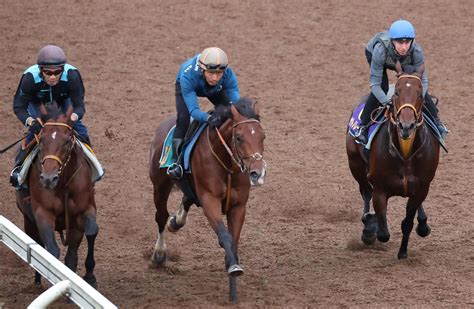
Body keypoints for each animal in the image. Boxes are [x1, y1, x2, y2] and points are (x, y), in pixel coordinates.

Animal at [15, 102, 98, 286]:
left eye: (67, 141)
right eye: (42, 139)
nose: (48, 178)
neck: (63, 184)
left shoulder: (86, 209)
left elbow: (91, 232)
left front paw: (89, 276)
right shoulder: (42, 213)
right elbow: (51, 250)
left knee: (72, 253)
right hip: (28, 219)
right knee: (38, 243)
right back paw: (38, 279)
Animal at [149, 98, 266, 300]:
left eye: (263, 136)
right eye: (238, 137)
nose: (258, 173)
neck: (227, 165)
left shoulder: (238, 206)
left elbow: (234, 240)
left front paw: (232, 272)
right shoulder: (210, 201)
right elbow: (225, 236)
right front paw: (233, 268)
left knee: (186, 199)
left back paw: (176, 221)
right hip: (160, 185)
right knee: (161, 216)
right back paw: (159, 253)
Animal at [344, 62, 440, 258]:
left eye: (420, 94)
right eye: (397, 93)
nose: (406, 126)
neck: (405, 154)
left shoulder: (421, 187)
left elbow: (407, 223)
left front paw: (402, 253)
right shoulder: (380, 189)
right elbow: (383, 233)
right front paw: (370, 229)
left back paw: (423, 224)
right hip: (355, 164)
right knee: (365, 191)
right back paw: (368, 223)